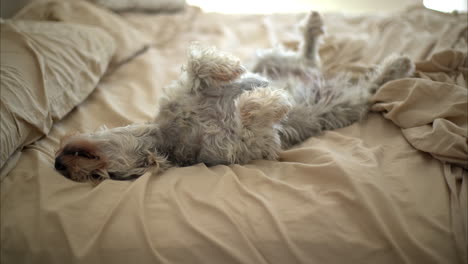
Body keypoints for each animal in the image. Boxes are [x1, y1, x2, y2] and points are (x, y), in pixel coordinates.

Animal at [53, 11, 414, 183]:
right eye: (99, 178)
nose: (58, 165)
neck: (171, 135)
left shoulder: (183, 94)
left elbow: (199, 65)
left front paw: (231, 71)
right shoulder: (247, 146)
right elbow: (255, 120)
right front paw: (268, 101)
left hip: (272, 58)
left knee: (307, 57)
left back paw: (314, 28)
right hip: (346, 101)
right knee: (367, 87)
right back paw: (396, 65)